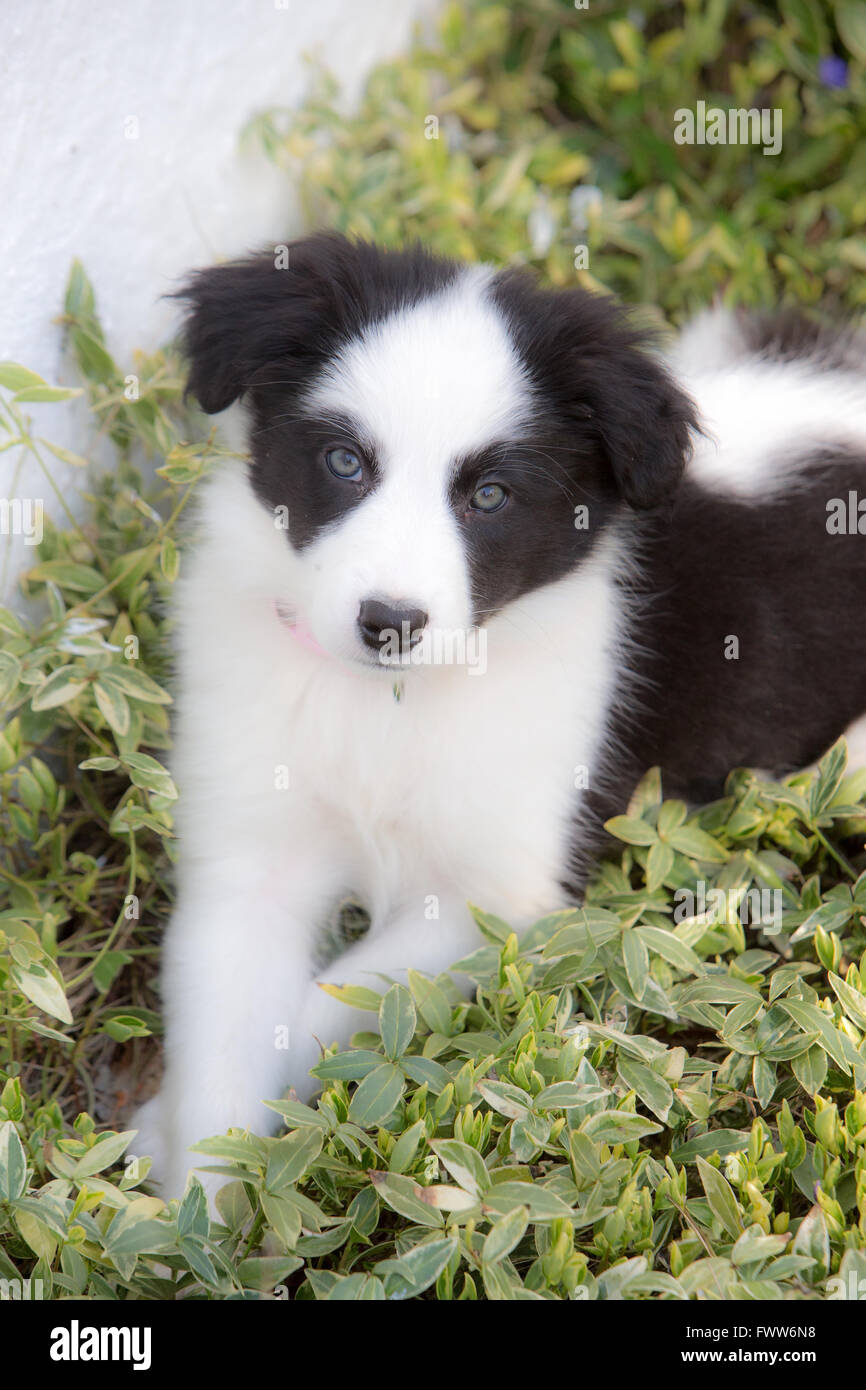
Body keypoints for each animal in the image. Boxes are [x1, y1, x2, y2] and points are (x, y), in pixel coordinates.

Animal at [134, 236, 866, 1195]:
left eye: (490, 497)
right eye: (343, 463)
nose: (389, 622)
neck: (388, 706)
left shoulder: (499, 894)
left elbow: (335, 1003)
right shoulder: (248, 858)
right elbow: (226, 1030)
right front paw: (197, 1200)